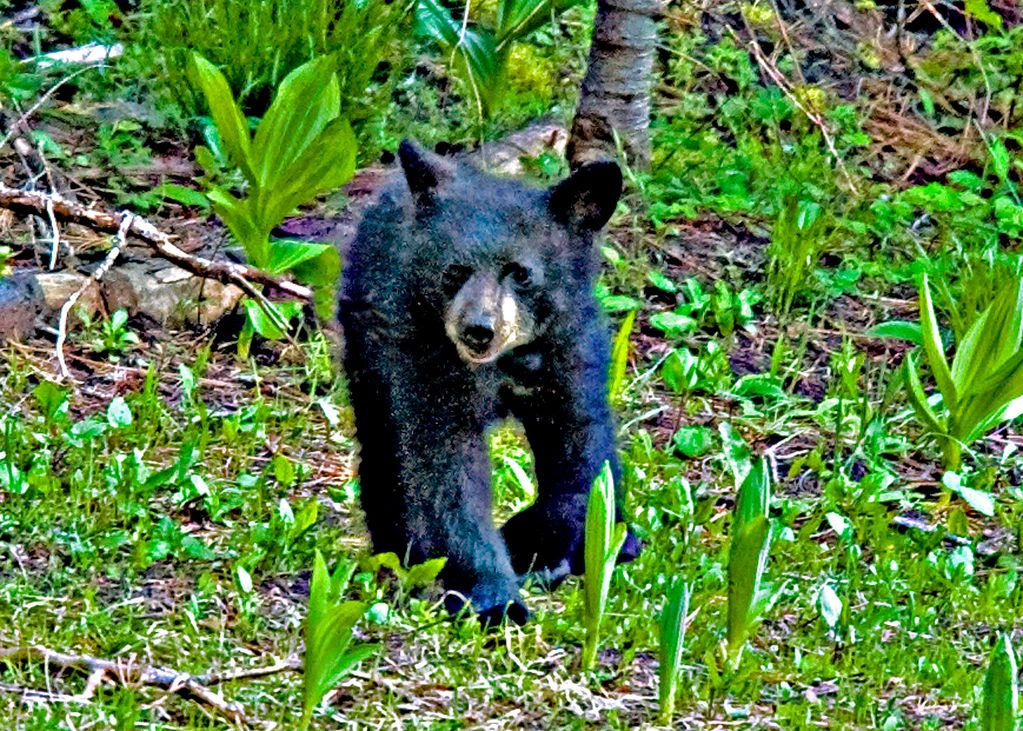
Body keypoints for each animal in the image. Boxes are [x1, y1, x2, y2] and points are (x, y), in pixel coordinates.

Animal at [337, 141, 640, 624]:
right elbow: (443, 471)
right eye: (453, 271)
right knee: (383, 446)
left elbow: (582, 448)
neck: (503, 364)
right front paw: (494, 597)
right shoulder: (421, 359)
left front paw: (547, 547)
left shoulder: (567, 350)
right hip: (368, 348)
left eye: (520, 272)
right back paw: (401, 555)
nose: (478, 329)